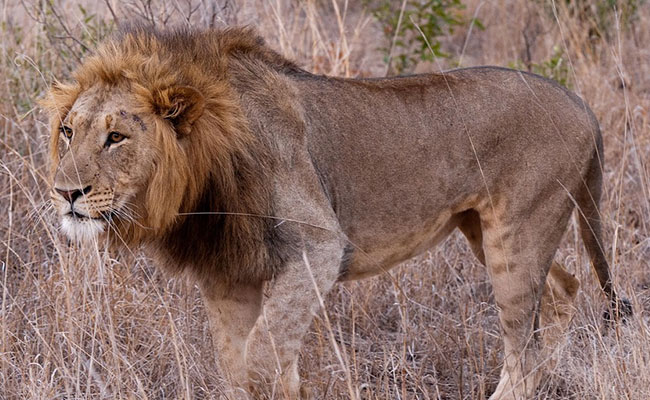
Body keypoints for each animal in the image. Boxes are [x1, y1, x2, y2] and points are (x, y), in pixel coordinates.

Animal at [42, 26, 631, 399]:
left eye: (116, 137)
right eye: (68, 131)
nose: (65, 192)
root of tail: (583, 104)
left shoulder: (318, 246)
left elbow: (261, 360)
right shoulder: (229, 275)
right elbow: (239, 365)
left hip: (518, 232)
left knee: (524, 352)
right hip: (490, 233)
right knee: (565, 290)